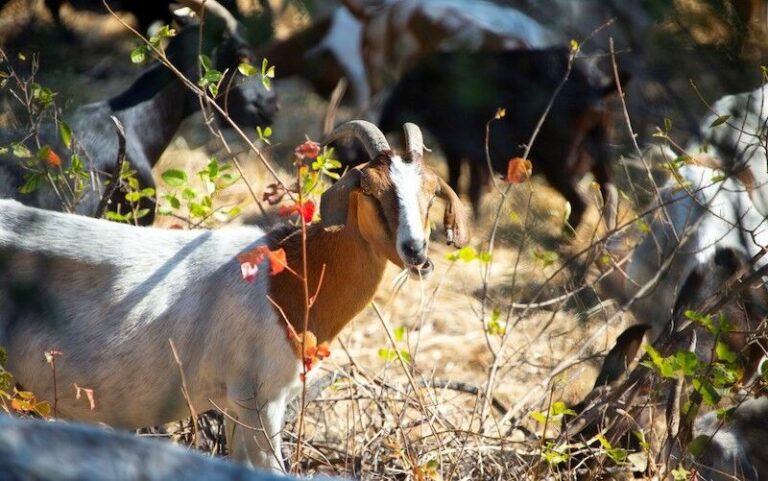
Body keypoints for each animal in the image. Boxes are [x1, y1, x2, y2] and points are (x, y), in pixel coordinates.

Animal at [0, 119, 468, 468]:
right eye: (368, 190)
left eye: (431, 193)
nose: (416, 252)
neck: (287, 276)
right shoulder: (260, 400)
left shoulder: (232, 408)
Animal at [364, 47, 620, 225]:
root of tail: (599, 91)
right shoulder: (473, 149)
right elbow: (474, 184)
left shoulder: (457, 142)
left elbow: (460, 181)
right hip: (600, 156)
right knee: (609, 197)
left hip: (559, 165)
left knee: (582, 203)